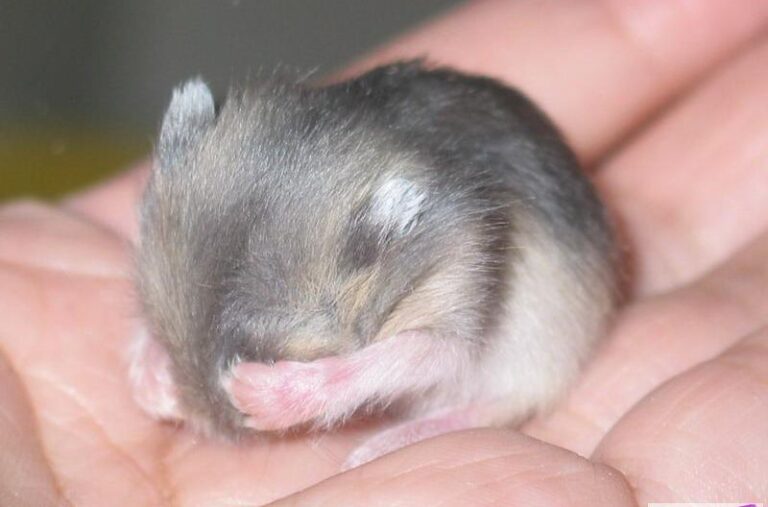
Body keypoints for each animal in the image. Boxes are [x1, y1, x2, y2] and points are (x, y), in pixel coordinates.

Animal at [128, 61, 617, 468]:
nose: (218, 432)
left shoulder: (459, 277)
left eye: (267, 357)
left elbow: (415, 354)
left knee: (496, 406)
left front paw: (254, 393)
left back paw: (375, 448)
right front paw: (153, 385)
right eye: (168, 331)